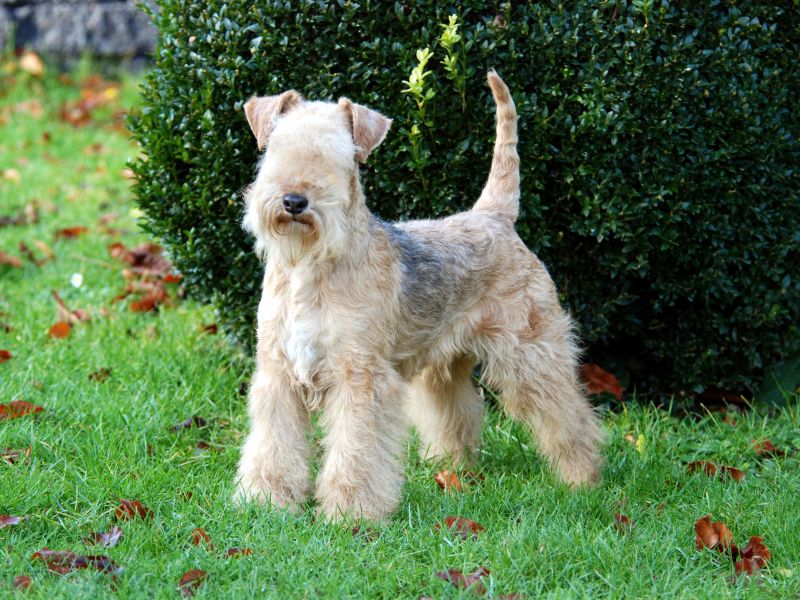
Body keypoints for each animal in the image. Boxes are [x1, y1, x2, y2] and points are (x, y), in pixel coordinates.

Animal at [235, 70, 604, 522]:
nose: (294, 200)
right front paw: (266, 501)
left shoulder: (360, 376)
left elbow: (356, 448)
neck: (309, 269)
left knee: (569, 418)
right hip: (445, 366)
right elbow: (274, 445)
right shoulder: (278, 372)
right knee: (457, 416)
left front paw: (350, 512)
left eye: (341, 156)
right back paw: (450, 467)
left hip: (532, 352)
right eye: (276, 146)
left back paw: (582, 480)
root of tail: (494, 216)